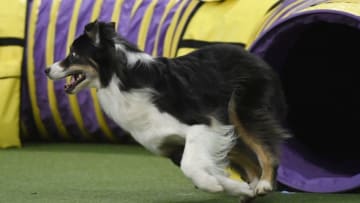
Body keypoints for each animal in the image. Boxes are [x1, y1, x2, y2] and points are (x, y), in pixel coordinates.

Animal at [46, 21, 290, 201]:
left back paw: (265, 184)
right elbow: (200, 166)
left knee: (266, 151)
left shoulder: (203, 125)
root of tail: (252, 56)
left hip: (240, 110)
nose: (47, 69)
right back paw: (253, 189)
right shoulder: (171, 145)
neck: (120, 79)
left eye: (74, 54)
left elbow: (190, 166)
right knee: (250, 161)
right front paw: (235, 188)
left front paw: (212, 186)